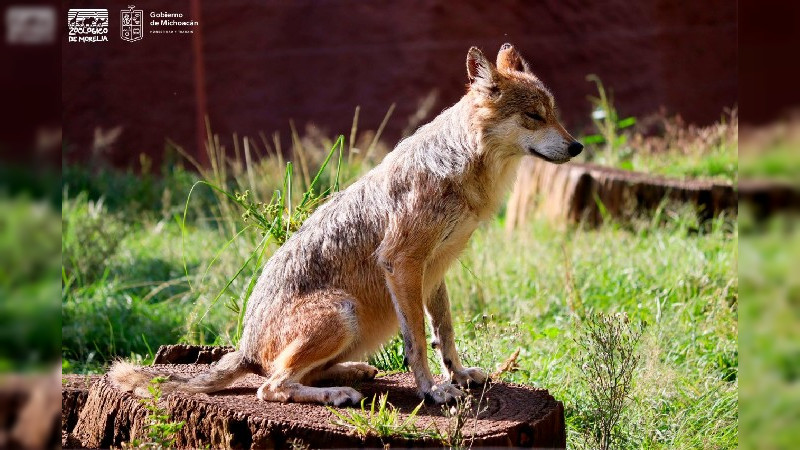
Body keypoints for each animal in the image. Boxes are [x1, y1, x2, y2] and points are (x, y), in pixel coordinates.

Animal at [111, 44, 580, 406]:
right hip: (345, 312)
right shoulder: (402, 263)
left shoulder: (435, 270)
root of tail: (244, 346)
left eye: (554, 113)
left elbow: (443, 333)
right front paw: (432, 391)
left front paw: (460, 377)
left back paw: (353, 372)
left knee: (291, 375)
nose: (576, 146)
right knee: (272, 386)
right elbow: (416, 343)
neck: (461, 167)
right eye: (534, 116)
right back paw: (339, 393)